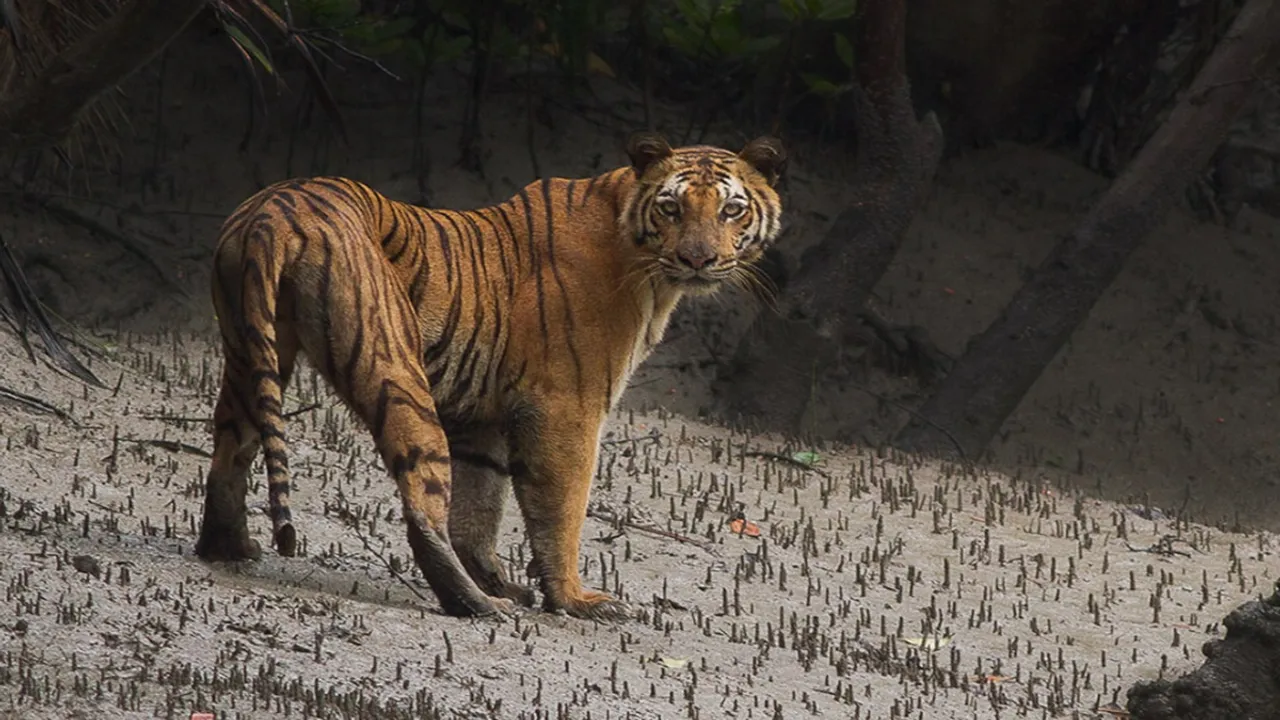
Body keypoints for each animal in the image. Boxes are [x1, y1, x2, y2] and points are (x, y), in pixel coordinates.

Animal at [193, 128, 783, 617]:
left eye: (731, 209)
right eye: (671, 207)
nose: (698, 259)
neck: (649, 272)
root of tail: (274, 210)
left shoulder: (483, 419)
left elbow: (480, 506)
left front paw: (503, 582)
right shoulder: (567, 407)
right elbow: (561, 508)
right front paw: (573, 599)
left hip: (254, 353)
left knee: (230, 450)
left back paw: (228, 549)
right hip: (395, 370)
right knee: (422, 504)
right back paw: (475, 605)